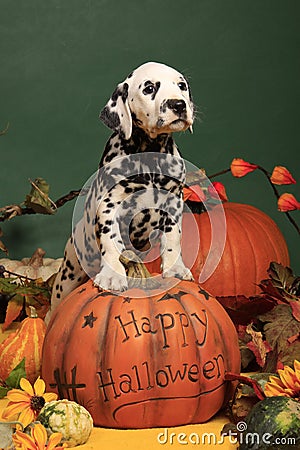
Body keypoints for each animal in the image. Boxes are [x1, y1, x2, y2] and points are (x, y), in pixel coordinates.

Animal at [47, 60, 195, 320]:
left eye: (181, 86)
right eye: (149, 88)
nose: (178, 104)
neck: (149, 157)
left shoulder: (173, 202)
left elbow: (173, 237)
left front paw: (175, 267)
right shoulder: (109, 205)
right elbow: (111, 240)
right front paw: (112, 275)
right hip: (68, 276)